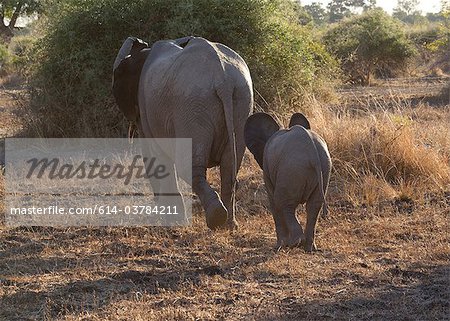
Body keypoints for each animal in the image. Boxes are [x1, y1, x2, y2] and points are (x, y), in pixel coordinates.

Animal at [112, 36, 253, 229]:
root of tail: (223, 79)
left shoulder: (147, 110)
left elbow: (156, 156)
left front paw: (172, 221)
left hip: (192, 105)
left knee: (189, 166)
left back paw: (215, 218)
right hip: (240, 101)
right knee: (230, 165)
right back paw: (229, 225)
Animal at [246, 111, 330, 251]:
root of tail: (313, 154)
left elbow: (273, 202)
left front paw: (278, 247)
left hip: (292, 168)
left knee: (283, 203)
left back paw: (294, 244)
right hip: (323, 167)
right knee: (313, 206)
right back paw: (309, 248)